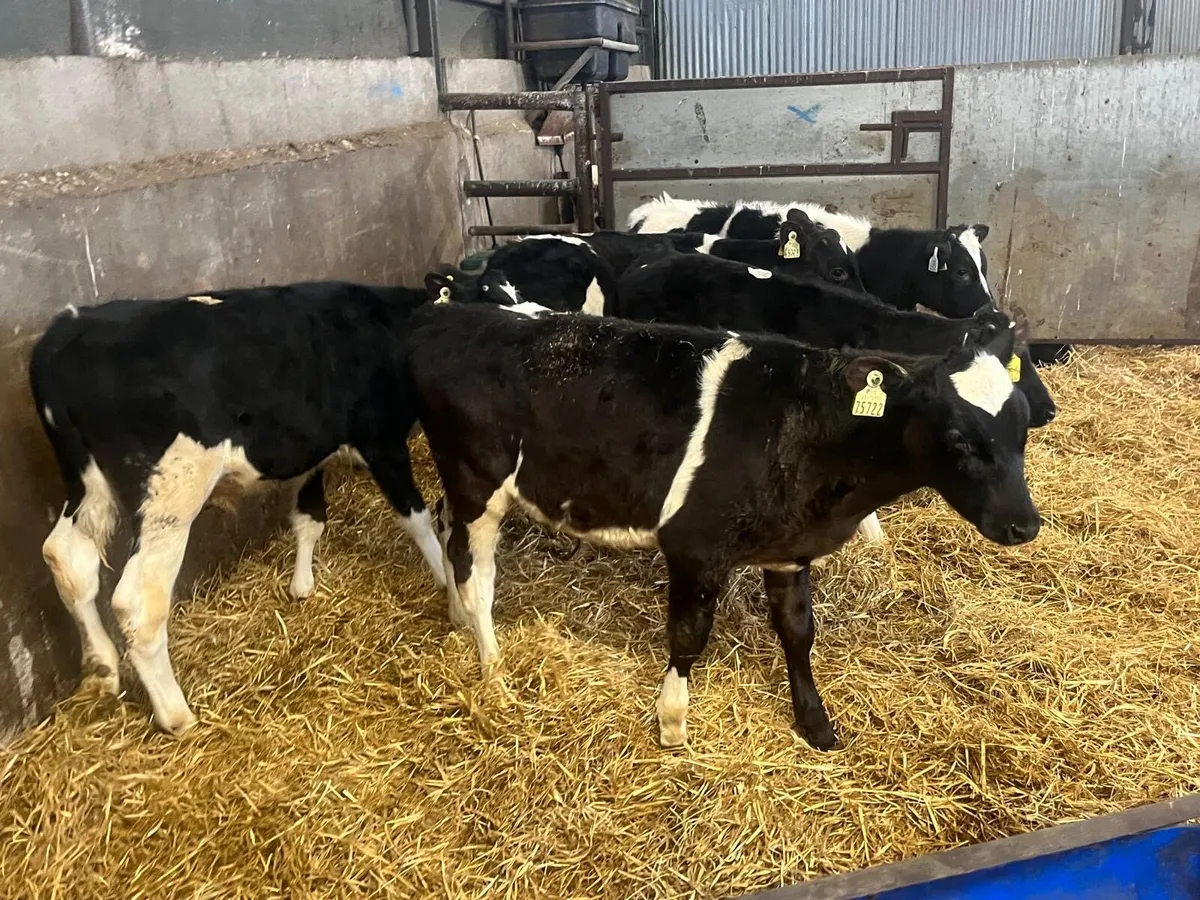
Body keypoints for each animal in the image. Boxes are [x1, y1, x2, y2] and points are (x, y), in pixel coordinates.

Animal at [30, 282, 443, 735]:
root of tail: (70, 328)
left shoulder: (311, 454)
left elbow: (309, 518)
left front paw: (302, 585)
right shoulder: (382, 440)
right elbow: (416, 518)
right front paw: (448, 582)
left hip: (85, 482)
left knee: (67, 559)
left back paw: (102, 671)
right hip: (171, 494)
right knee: (138, 601)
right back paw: (176, 714)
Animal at [405, 303, 1040, 751]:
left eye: (1022, 427)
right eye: (958, 438)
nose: (1025, 524)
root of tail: (448, 318)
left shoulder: (788, 550)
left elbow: (798, 633)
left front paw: (815, 722)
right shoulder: (694, 546)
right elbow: (689, 635)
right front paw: (672, 723)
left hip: (461, 489)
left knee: (447, 535)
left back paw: (456, 619)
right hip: (478, 486)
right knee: (478, 576)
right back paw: (493, 672)